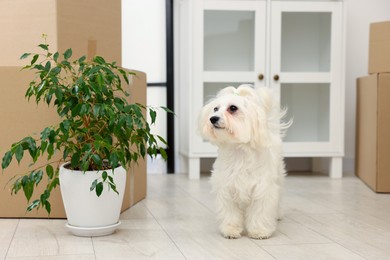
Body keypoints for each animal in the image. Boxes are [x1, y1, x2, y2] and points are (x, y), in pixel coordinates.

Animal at [198, 85, 290, 240]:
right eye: (215, 108)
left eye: (233, 108)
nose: (213, 118)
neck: (239, 151)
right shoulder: (226, 188)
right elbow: (230, 212)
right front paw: (230, 230)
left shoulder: (262, 188)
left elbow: (260, 211)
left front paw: (259, 231)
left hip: (279, 176)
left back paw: (277, 214)